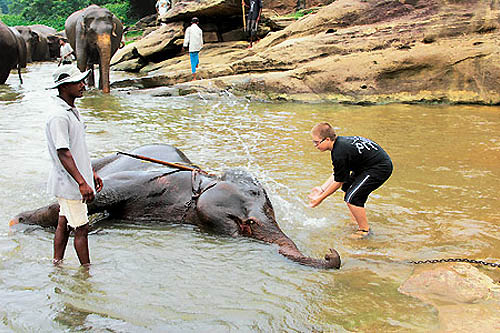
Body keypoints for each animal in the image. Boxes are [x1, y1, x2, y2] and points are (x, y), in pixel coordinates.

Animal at [9, 144, 342, 268]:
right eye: (246, 223)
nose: (330, 253)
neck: (203, 181)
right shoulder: (144, 182)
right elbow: (90, 200)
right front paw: (17, 221)